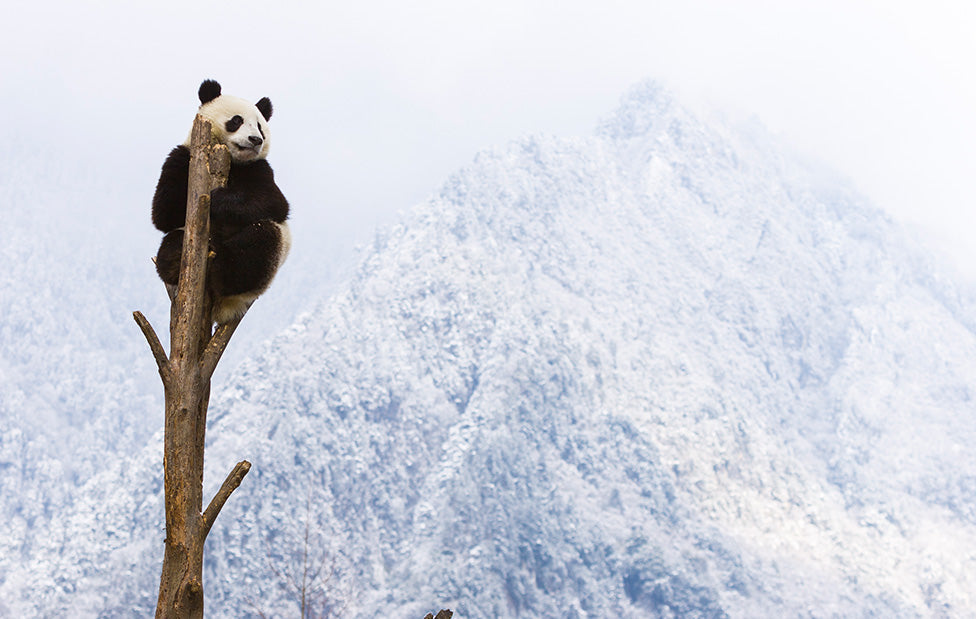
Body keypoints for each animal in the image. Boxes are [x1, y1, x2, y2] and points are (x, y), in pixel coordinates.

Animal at [152, 79, 291, 325]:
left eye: (260, 126)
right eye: (237, 120)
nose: (256, 140)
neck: (233, 160)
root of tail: (222, 310)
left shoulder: (259, 169)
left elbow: (274, 203)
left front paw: (218, 200)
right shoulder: (182, 154)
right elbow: (164, 213)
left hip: (269, 261)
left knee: (258, 245)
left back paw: (222, 271)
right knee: (171, 243)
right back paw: (176, 258)